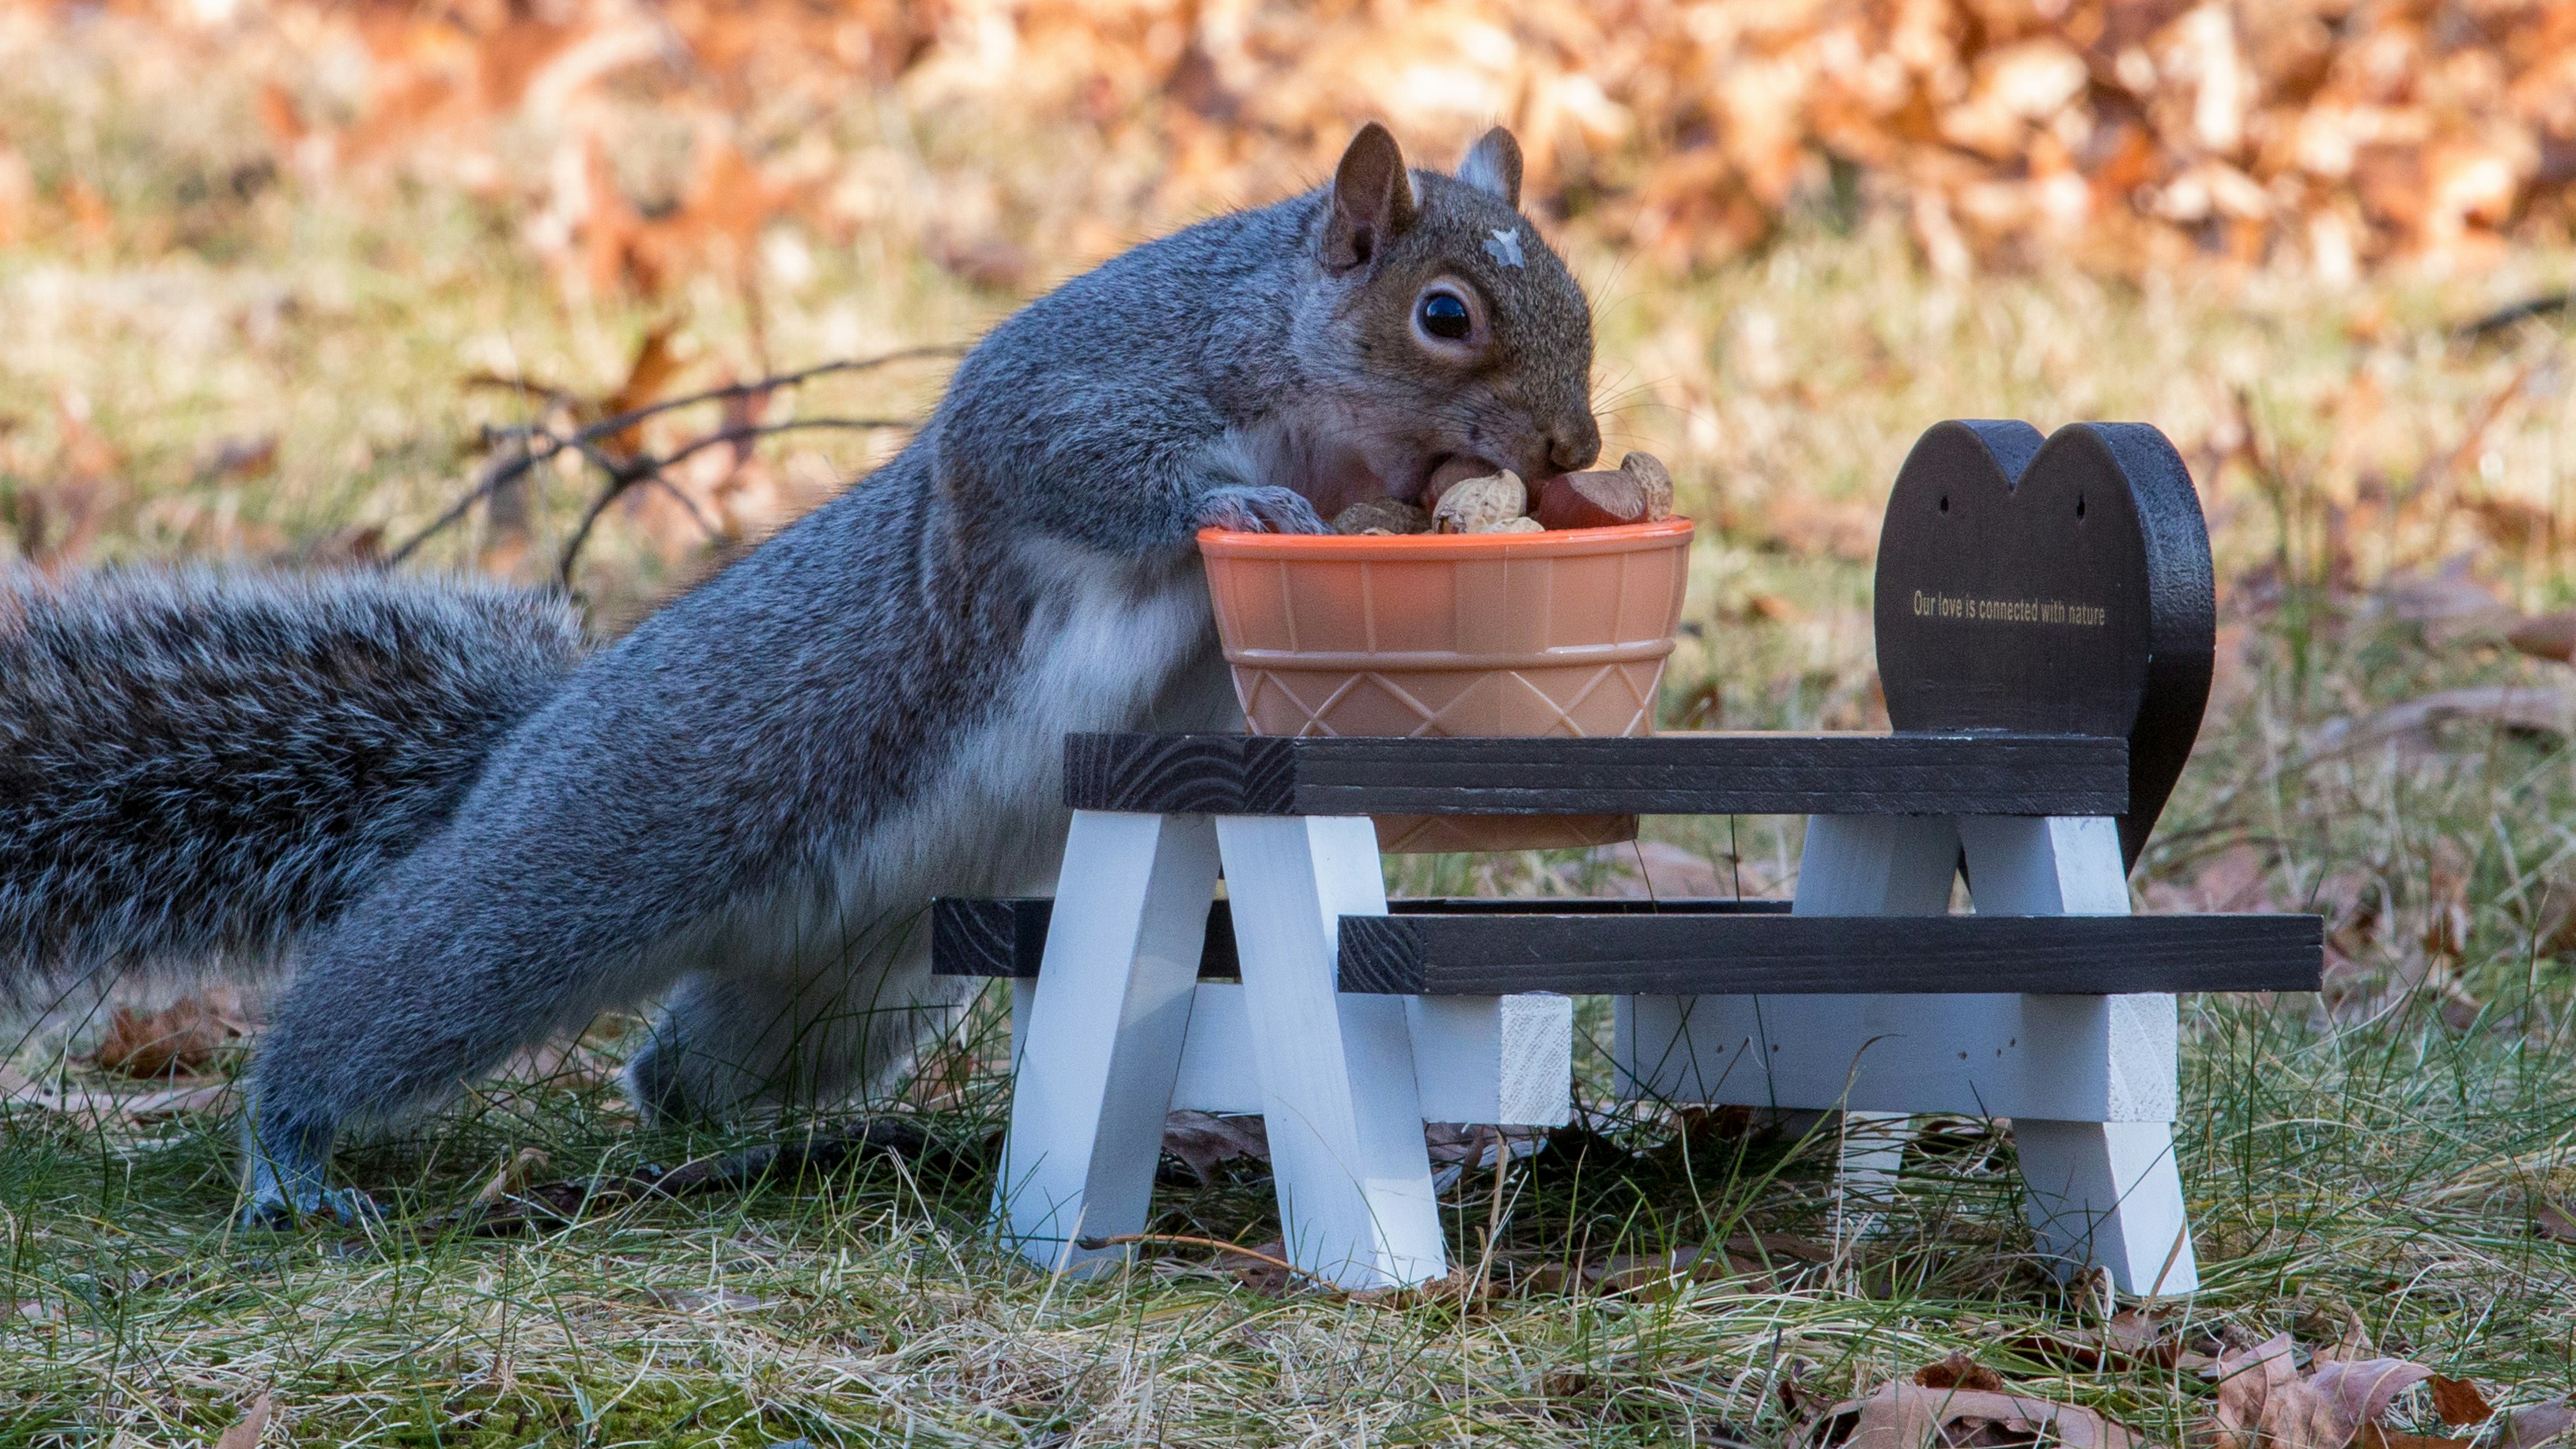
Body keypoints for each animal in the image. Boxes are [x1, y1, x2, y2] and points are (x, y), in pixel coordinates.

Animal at [0, 123, 1602, 1225]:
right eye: (1443, 313)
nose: (1575, 449)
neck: (1297, 383)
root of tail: (525, 744)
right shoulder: (1063, 392)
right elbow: (1085, 464)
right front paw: (1248, 507)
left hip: (844, 992)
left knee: (678, 1073)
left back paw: (745, 1141)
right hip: (581, 860)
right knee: (389, 994)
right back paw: (290, 1152)